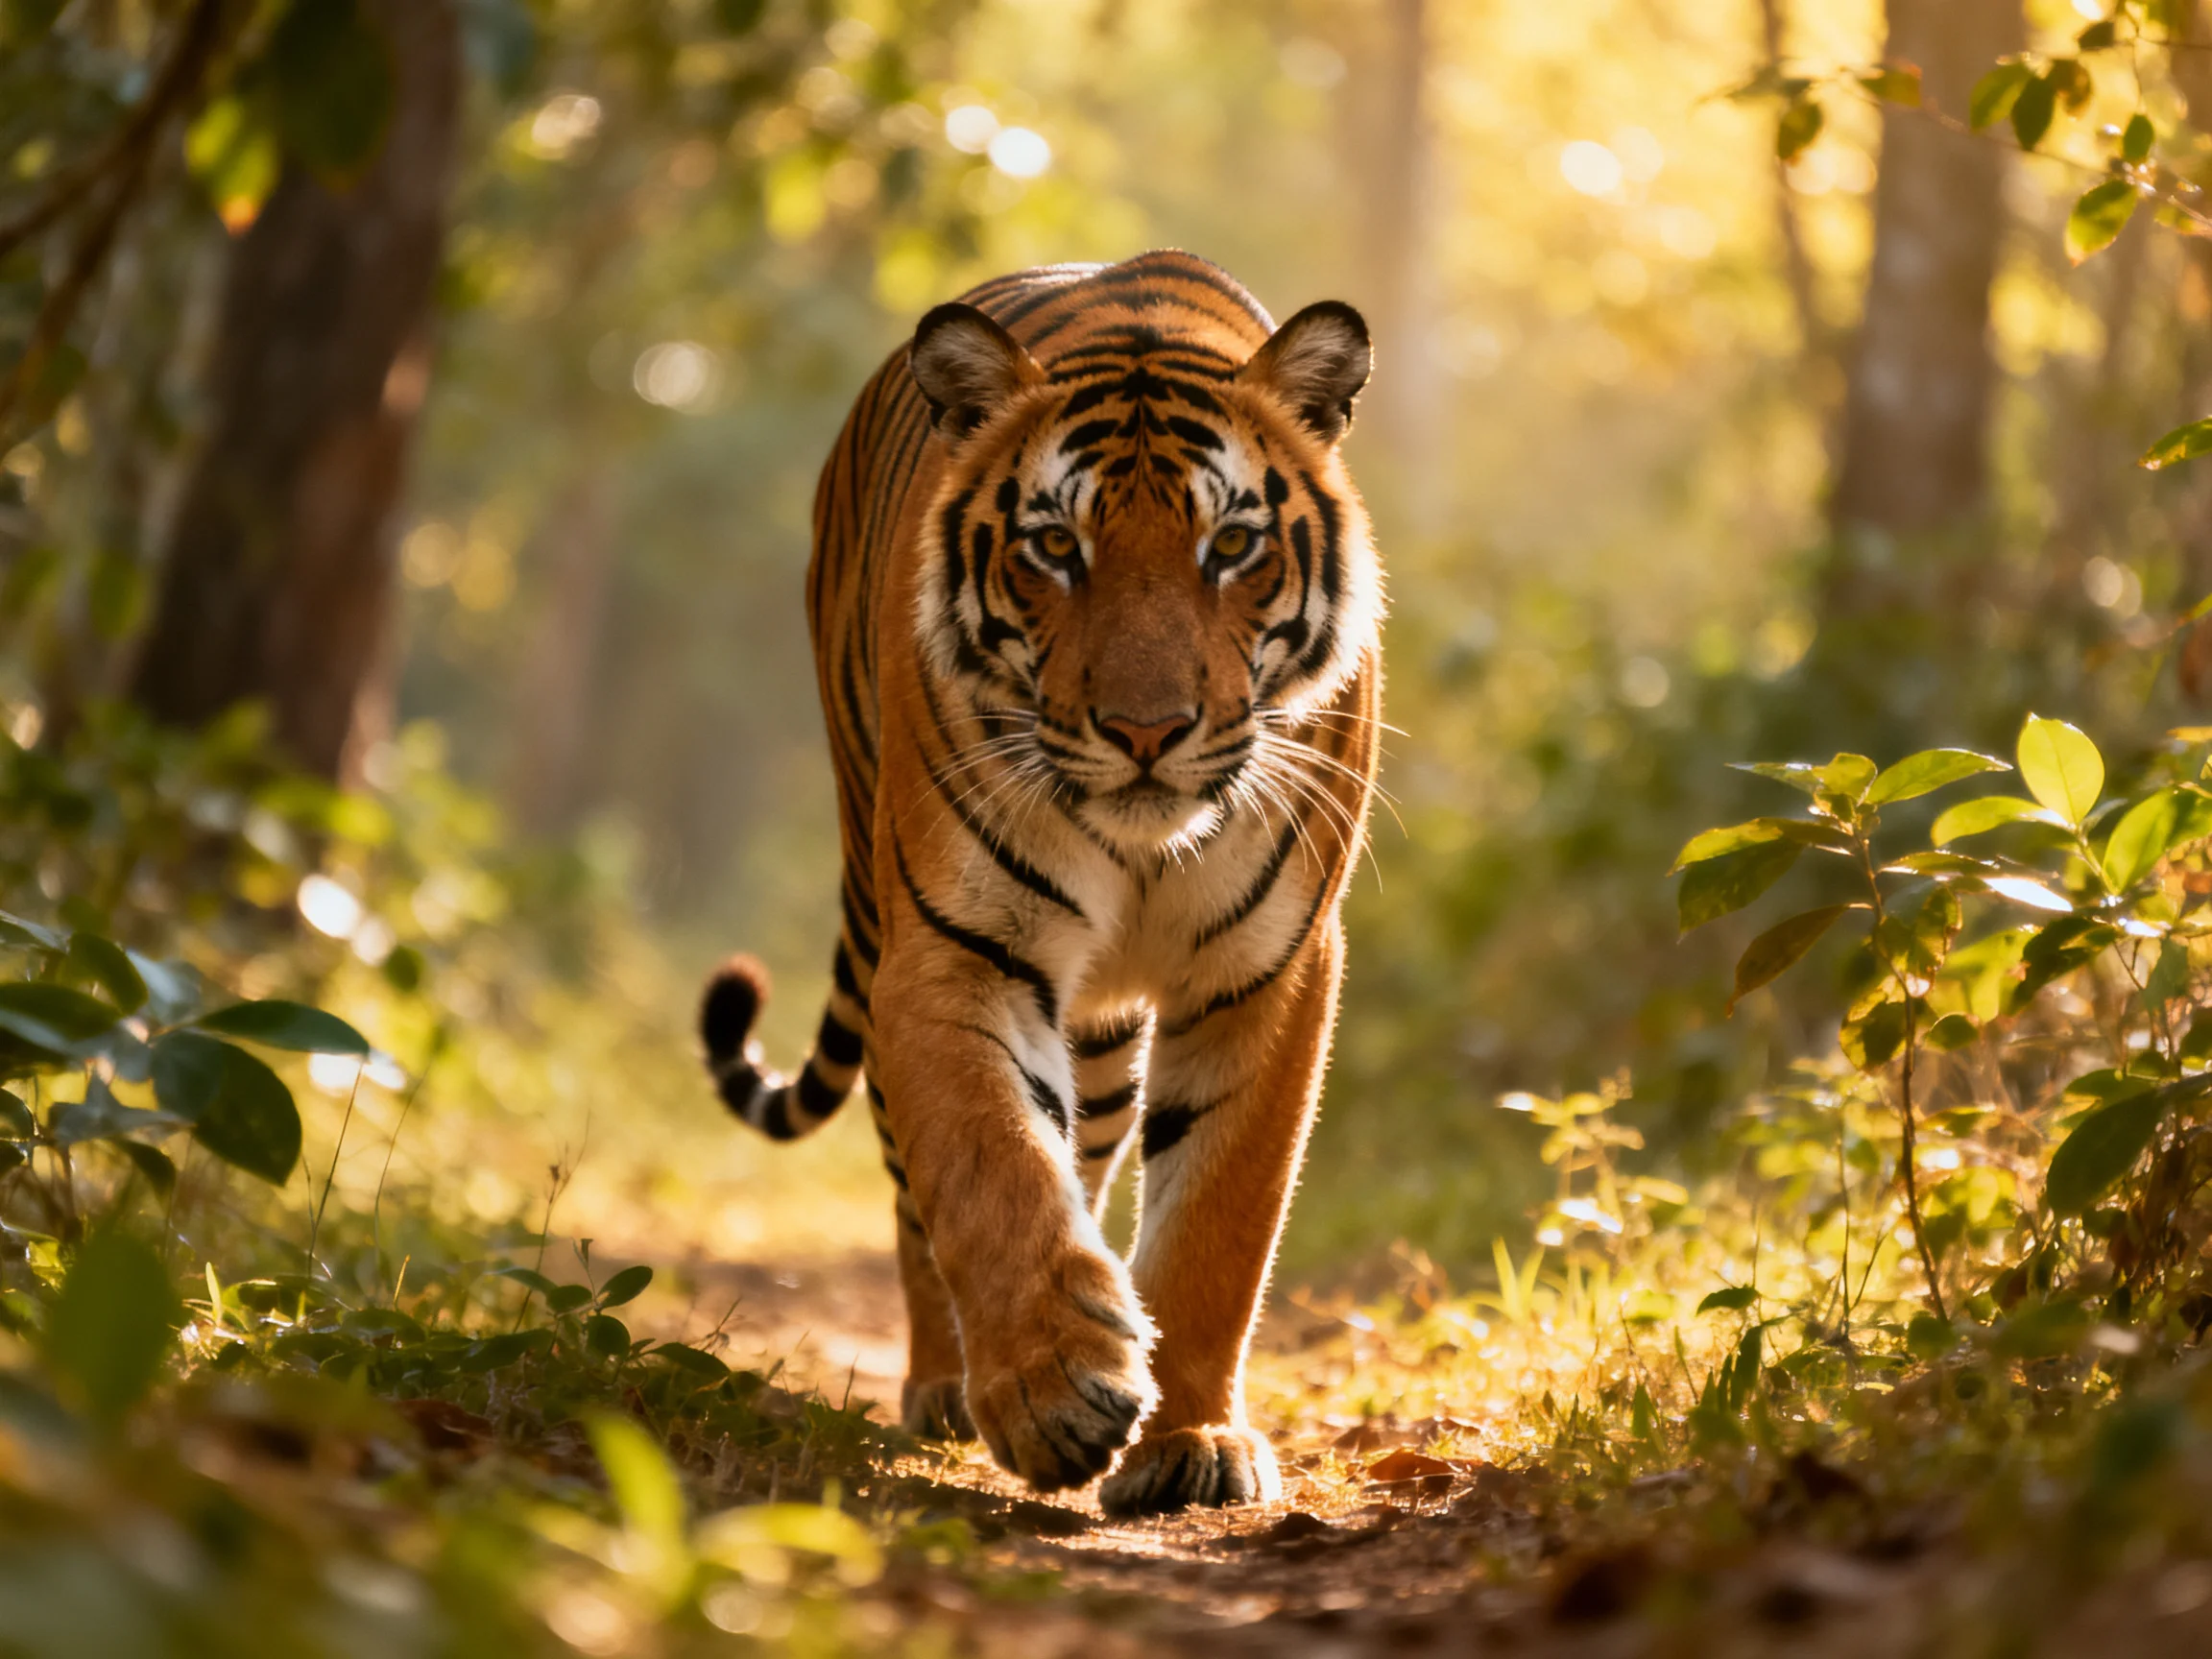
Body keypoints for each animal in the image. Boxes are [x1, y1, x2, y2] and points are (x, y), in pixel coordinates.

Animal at [699, 249, 1381, 1517]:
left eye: (1231, 547)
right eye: (1057, 548)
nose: (1147, 731)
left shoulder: (1269, 967)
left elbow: (1220, 1216)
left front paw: (1192, 1438)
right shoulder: (954, 946)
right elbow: (989, 1163)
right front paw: (1056, 1388)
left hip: (1104, 1039)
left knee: (1094, 1144)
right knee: (917, 1193)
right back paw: (947, 1382)